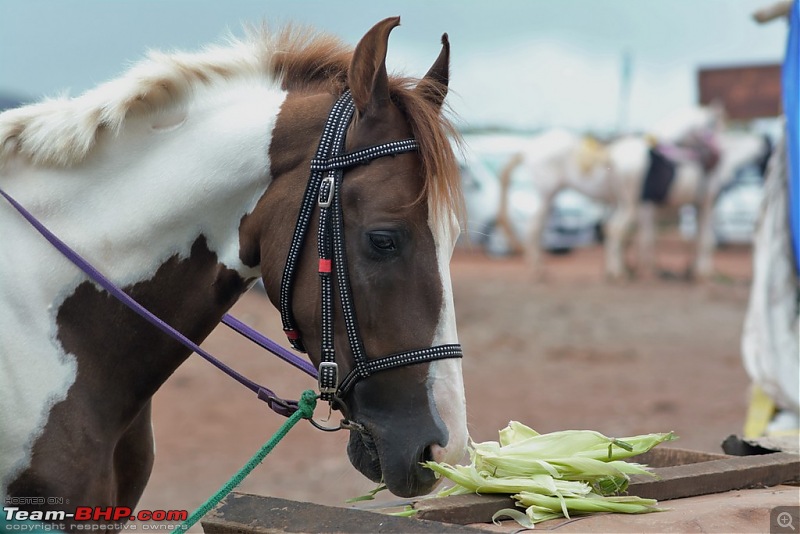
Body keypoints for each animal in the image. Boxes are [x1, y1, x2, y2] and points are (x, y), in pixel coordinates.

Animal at [504, 109, 772, 284]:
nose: (712, 154)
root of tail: (527, 148)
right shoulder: (705, 203)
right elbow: (705, 240)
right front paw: (700, 273)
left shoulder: (666, 206)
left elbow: (661, 240)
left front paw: (681, 270)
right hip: (558, 194)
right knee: (545, 229)